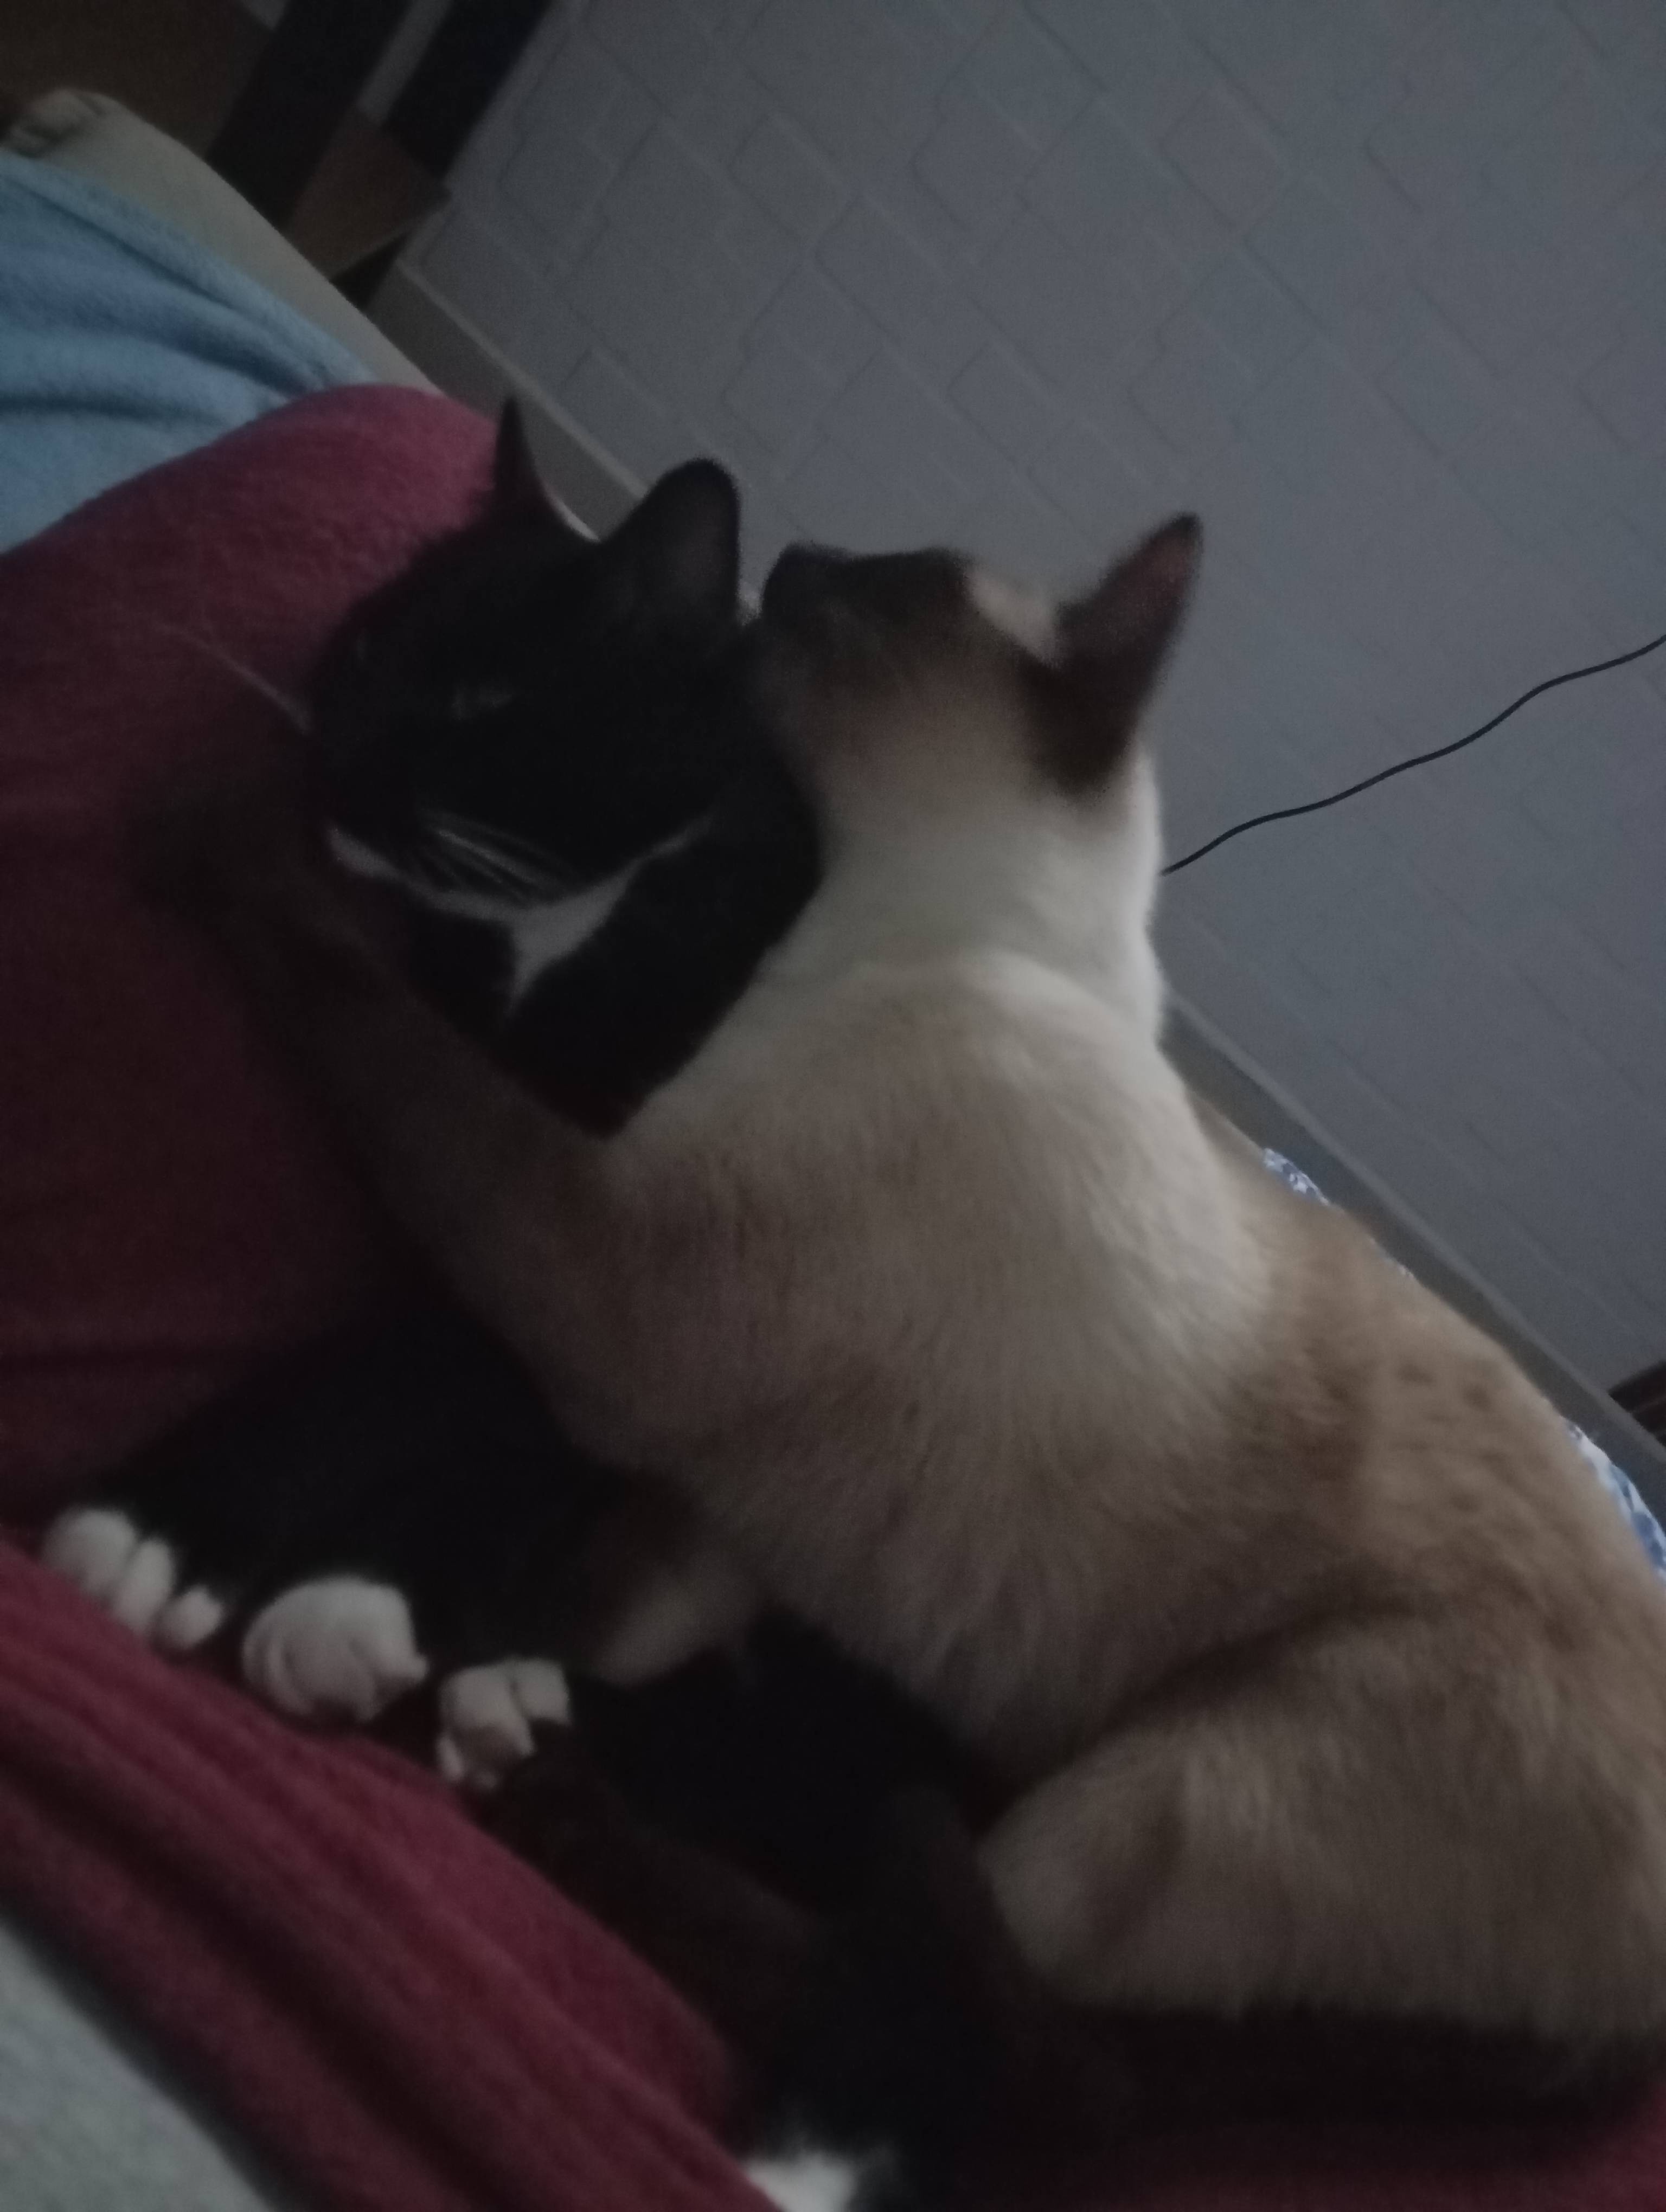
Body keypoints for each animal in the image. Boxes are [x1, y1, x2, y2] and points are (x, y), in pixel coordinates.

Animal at [155, 504, 1666, 2189]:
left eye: (863, 587)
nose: (789, 558)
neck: (902, 946)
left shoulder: (583, 1233)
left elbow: (361, 996)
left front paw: (243, 807)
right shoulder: (715, 1500)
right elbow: (602, 1586)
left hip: (1133, 1798)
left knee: (1030, 2049)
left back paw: (545, 1789)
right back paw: (523, 1726)